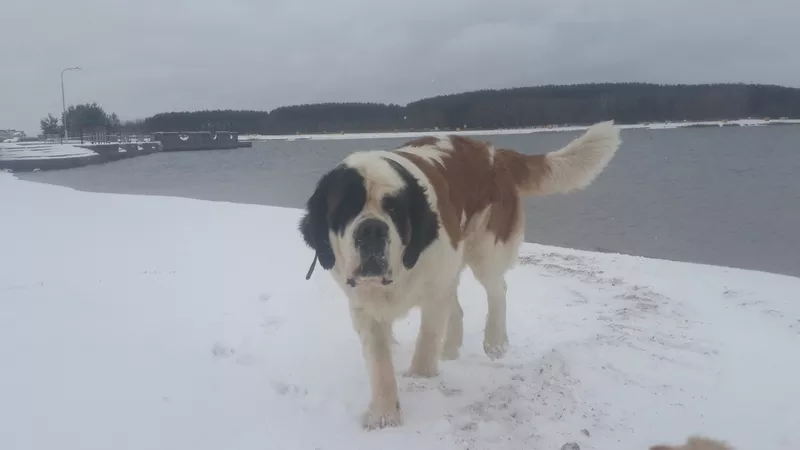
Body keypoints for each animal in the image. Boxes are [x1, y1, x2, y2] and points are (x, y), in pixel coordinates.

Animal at [298, 120, 620, 428]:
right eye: (344, 209)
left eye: (395, 209)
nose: (372, 230)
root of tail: (492, 150)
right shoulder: (365, 306)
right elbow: (379, 362)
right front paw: (384, 414)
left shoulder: (433, 290)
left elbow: (426, 343)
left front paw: (421, 380)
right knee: (458, 307)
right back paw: (450, 350)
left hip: (485, 248)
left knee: (497, 288)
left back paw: (495, 342)